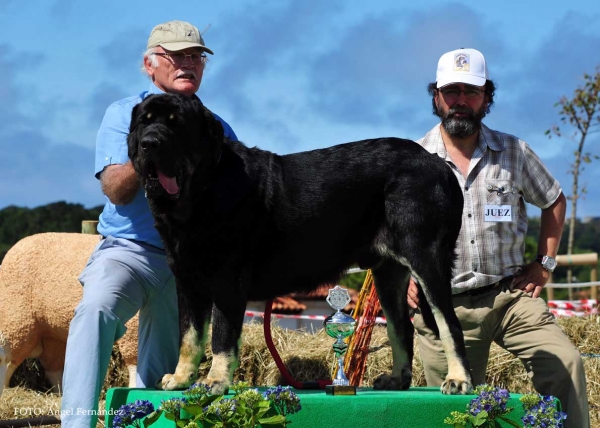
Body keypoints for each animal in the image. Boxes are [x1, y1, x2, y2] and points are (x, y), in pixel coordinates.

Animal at [127, 93, 474, 394]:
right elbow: (189, 336)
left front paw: (215, 381)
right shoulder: (187, 283)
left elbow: (221, 336)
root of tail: (438, 163)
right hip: (388, 272)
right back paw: (397, 379)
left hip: (426, 257)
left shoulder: (228, 281)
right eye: (144, 122)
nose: (149, 143)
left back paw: (459, 380)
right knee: (401, 326)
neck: (200, 191)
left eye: (177, 124)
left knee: (449, 324)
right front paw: (180, 378)